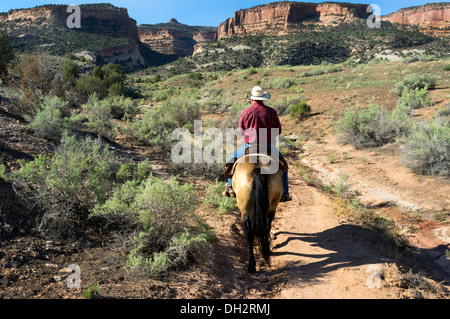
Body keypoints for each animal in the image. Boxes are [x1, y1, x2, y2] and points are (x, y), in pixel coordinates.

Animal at [227, 146, 286, 274]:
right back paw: (264, 252)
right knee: (265, 225)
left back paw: (252, 265)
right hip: (271, 205)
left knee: (251, 230)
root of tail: (258, 167)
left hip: (246, 208)